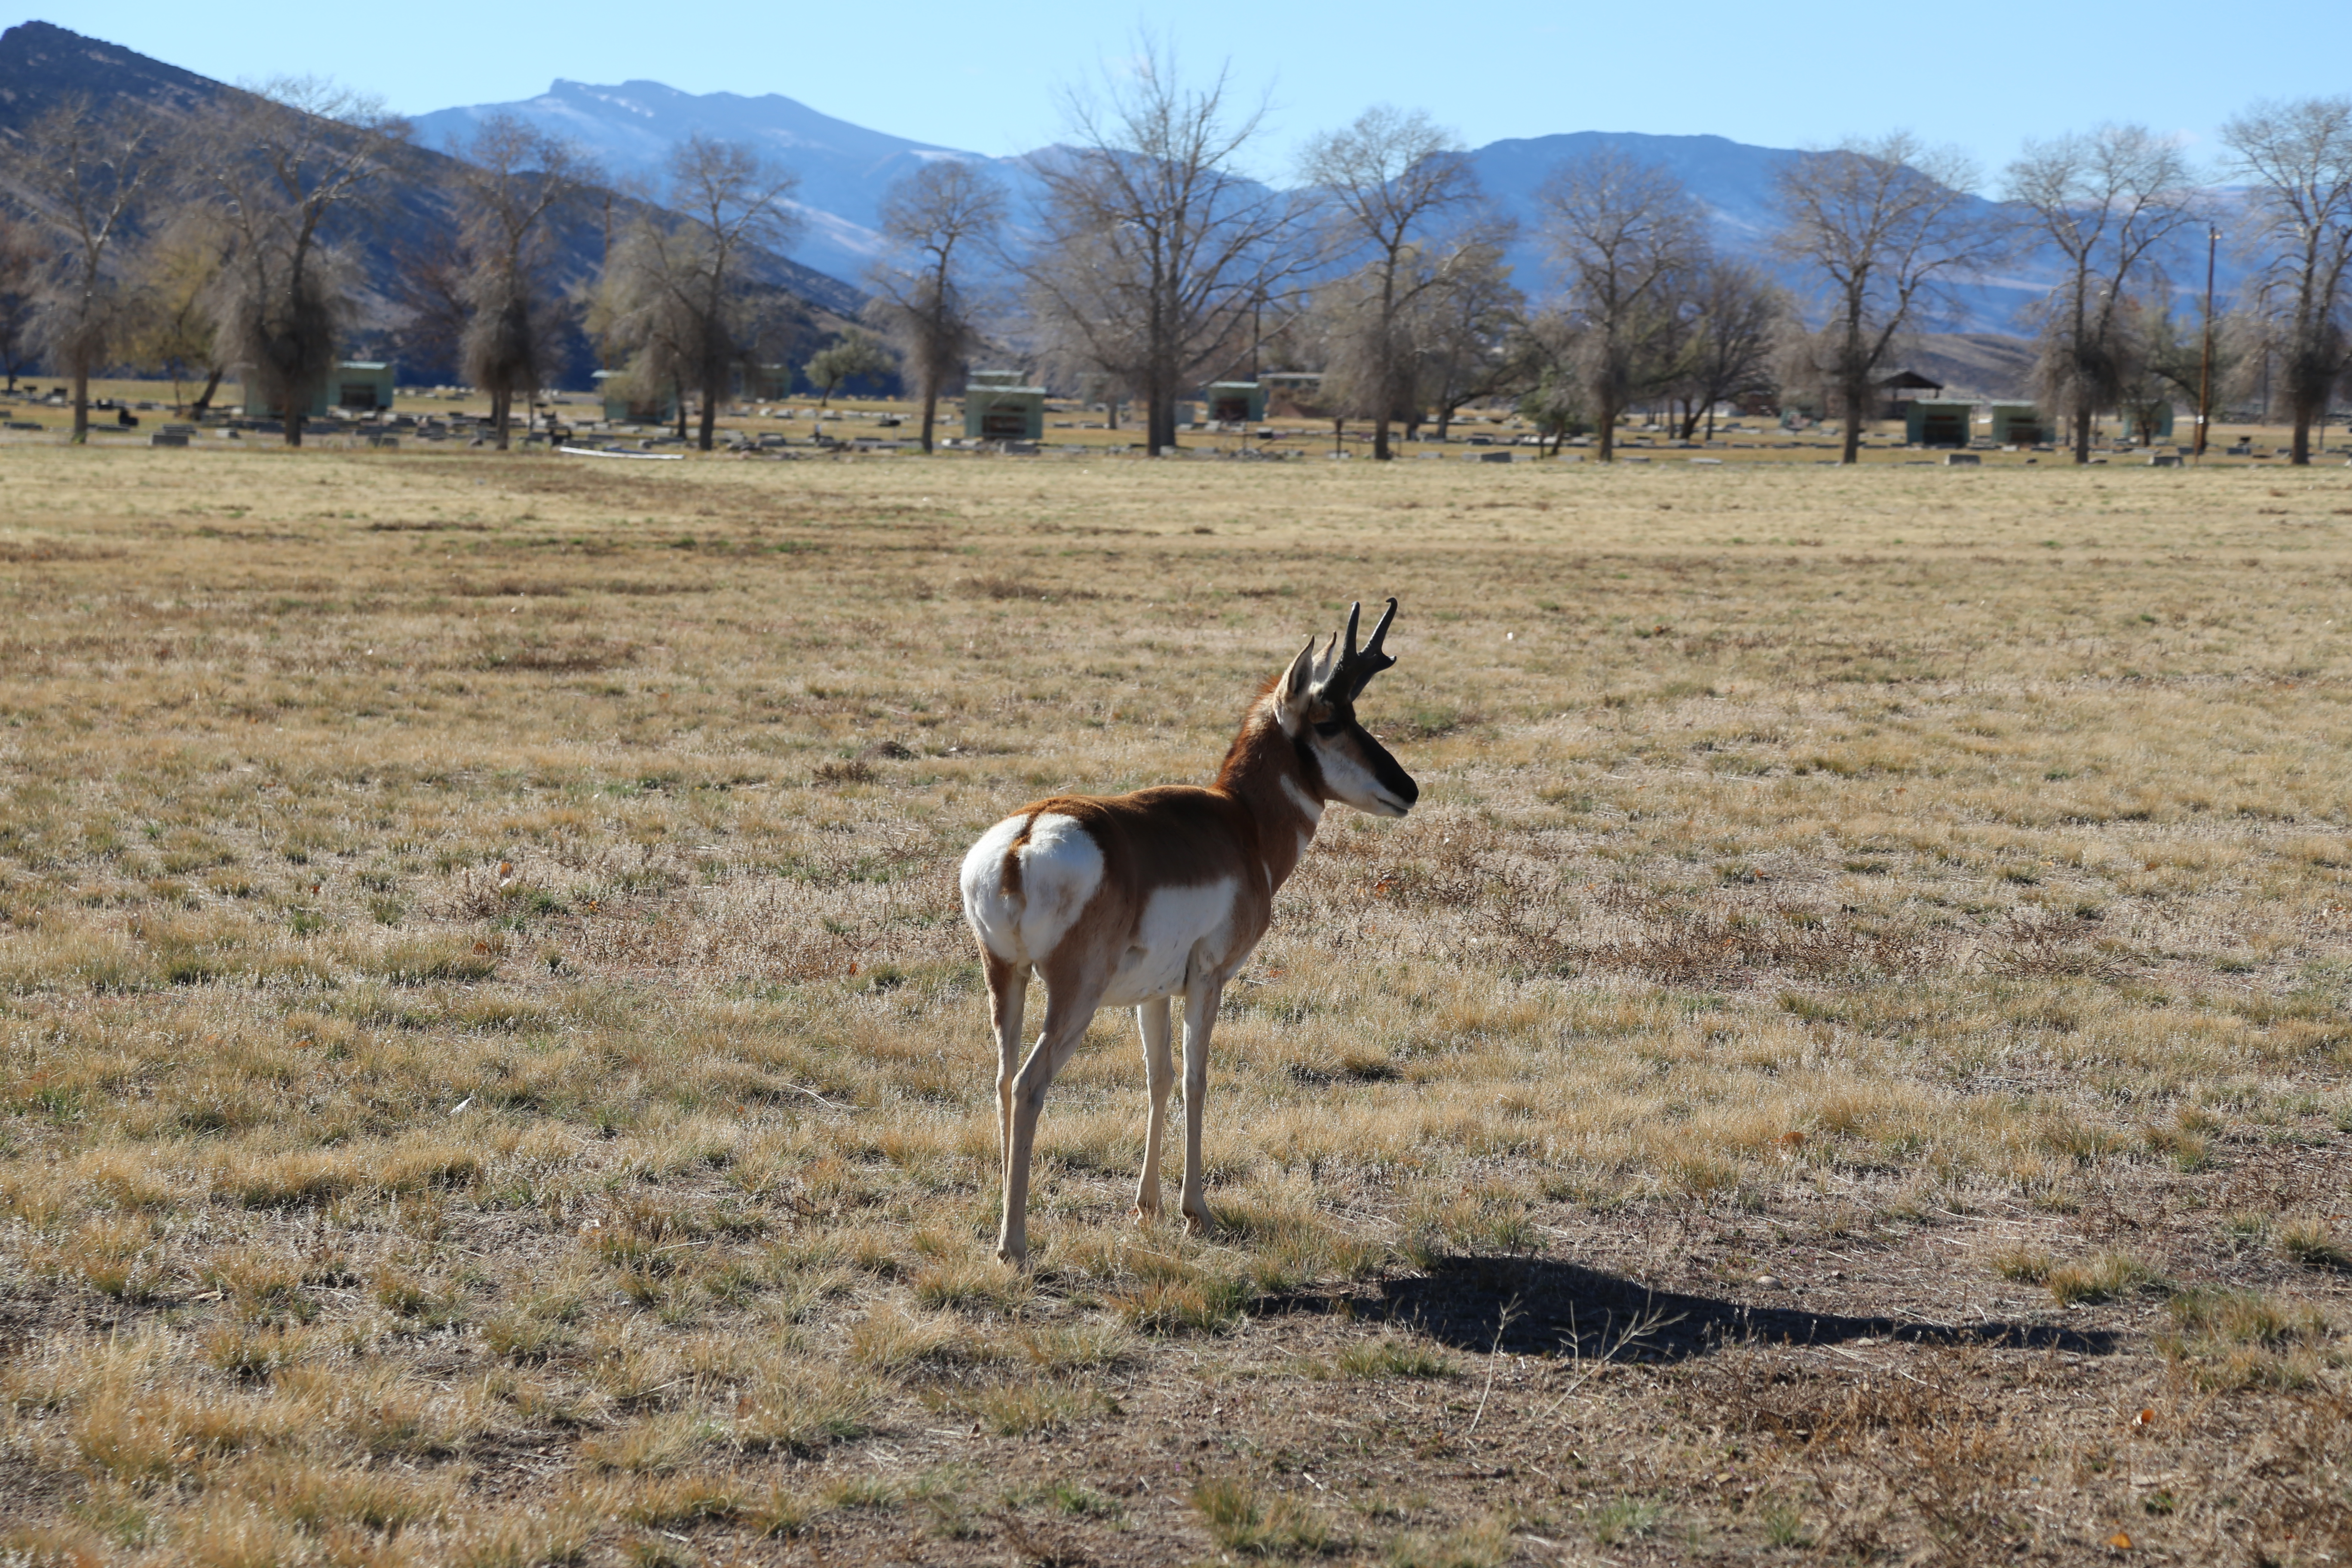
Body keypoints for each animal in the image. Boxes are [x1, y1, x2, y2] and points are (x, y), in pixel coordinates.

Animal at [955, 597, 1411, 1260]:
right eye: (1330, 720)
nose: (1409, 789)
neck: (1240, 821)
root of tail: (1024, 839)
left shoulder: (1153, 996)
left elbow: (1159, 1078)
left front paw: (1145, 1207)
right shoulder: (1209, 980)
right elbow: (1197, 1078)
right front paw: (1196, 1211)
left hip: (1006, 980)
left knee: (1000, 1078)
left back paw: (1001, 1217)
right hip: (1073, 998)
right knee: (1028, 1084)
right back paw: (1013, 1244)